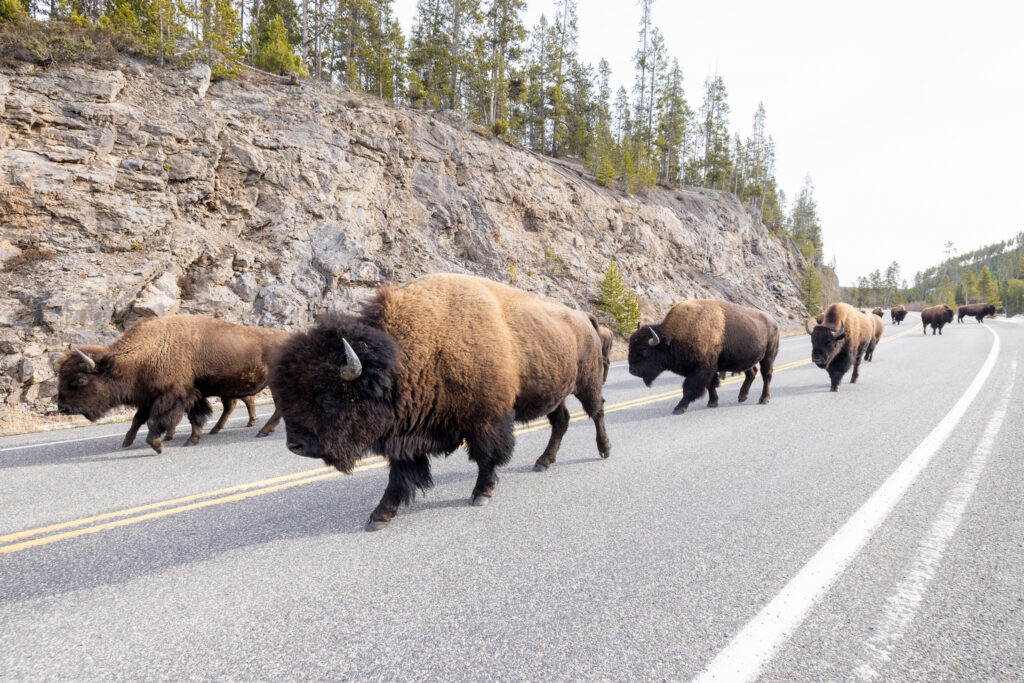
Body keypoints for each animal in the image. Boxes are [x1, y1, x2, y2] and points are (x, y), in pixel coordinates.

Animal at [56, 315, 292, 453]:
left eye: (80, 380)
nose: (62, 408)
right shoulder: (161, 395)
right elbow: (140, 418)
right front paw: (127, 442)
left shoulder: (174, 395)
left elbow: (156, 419)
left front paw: (158, 444)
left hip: (274, 384)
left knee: (277, 407)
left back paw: (262, 431)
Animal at [268, 273, 612, 531]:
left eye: (327, 396)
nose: (295, 446)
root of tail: (584, 317)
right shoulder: (405, 436)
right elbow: (399, 476)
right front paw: (380, 516)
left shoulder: (487, 420)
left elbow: (487, 458)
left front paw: (481, 494)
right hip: (556, 392)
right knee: (561, 422)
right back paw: (543, 461)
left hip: (587, 383)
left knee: (596, 411)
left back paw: (604, 450)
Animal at [628, 300, 779, 414]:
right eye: (630, 347)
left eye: (644, 350)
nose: (632, 371)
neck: (673, 337)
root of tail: (773, 321)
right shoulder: (708, 368)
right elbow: (711, 385)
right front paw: (712, 402)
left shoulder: (702, 369)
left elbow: (689, 388)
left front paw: (679, 408)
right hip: (745, 360)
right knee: (752, 373)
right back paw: (742, 396)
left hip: (768, 357)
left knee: (766, 375)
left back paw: (764, 399)